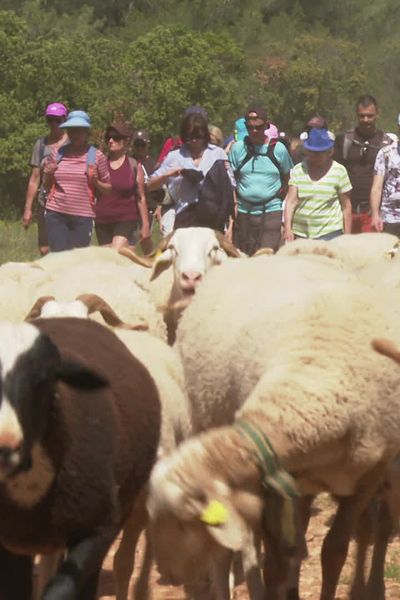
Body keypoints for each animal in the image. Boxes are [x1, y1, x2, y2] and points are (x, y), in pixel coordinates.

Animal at [148, 254, 400, 600]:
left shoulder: (367, 479)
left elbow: (334, 552)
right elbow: (275, 563)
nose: (169, 574)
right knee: (234, 553)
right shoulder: (271, 484)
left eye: (183, 521)